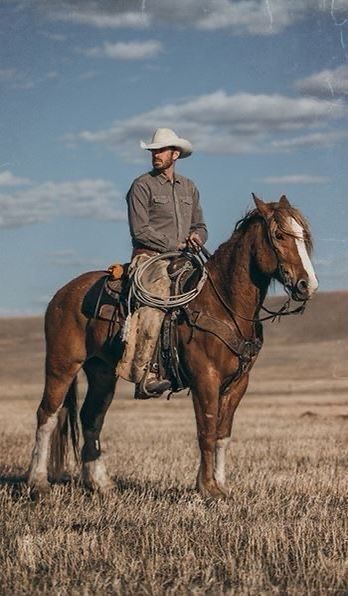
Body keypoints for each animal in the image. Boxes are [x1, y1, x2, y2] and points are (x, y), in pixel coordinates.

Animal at [27, 196, 318, 498]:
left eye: (303, 236)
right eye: (279, 235)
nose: (307, 285)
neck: (224, 303)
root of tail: (62, 294)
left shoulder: (238, 383)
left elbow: (223, 434)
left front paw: (221, 484)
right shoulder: (205, 378)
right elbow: (206, 431)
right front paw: (207, 487)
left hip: (102, 372)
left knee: (91, 418)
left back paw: (101, 483)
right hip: (62, 364)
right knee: (47, 414)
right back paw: (38, 482)